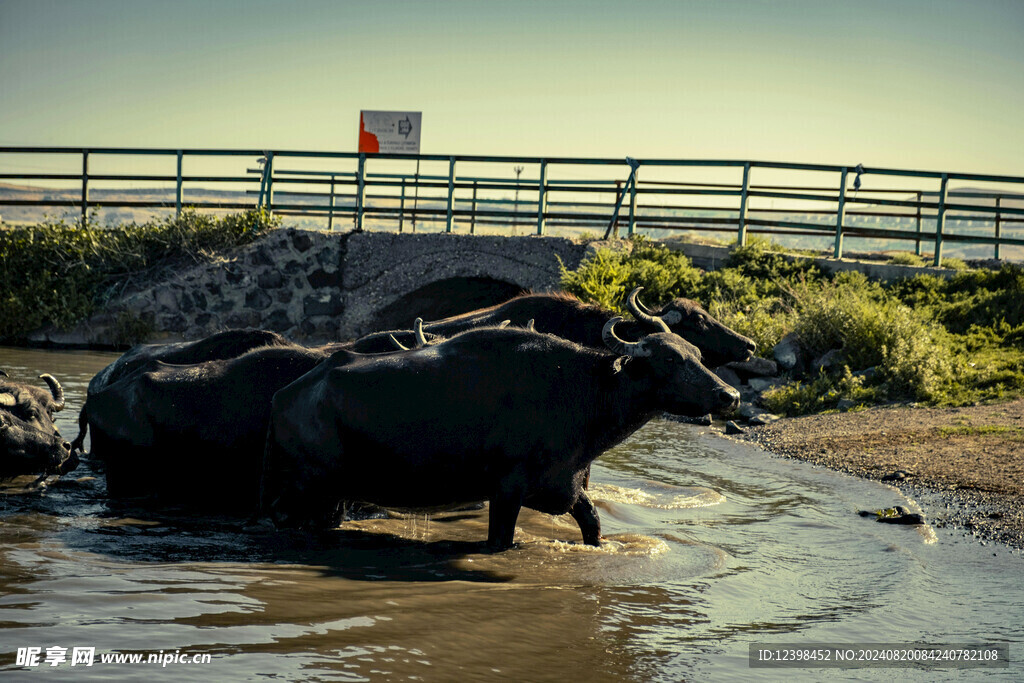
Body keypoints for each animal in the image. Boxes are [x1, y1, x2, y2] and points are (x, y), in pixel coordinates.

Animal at [260, 321, 741, 548]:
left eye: (697, 354)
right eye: (671, 360)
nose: (731, 395)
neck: (579, 390)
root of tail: (286, 396)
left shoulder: (565, 487)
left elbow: (593, 524)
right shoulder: (506, 492)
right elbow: (500, 541)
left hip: (333, 496)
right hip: (306, 487)